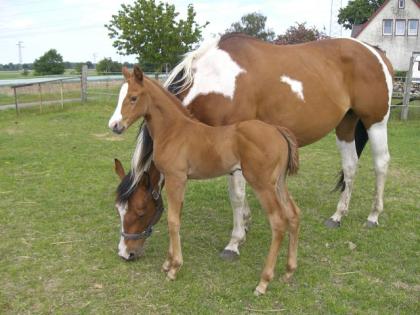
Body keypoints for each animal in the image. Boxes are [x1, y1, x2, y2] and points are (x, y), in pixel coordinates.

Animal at [109, 34, 394, 262]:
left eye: (140, 210)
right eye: (119, 210)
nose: (125, 253)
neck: (216, 78)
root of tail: (375, 52)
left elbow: (235, 195)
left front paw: (234, 243)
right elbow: (239, 196)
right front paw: (245, 225)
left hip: (375, 122)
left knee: (381, 164)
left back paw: (373, 216)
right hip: (346, 124)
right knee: (350, 166)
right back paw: (338, 215)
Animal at [118, 66, 302, 296]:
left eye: (133, 97)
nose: (115, 126)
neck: (174, 130)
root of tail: (277, 130)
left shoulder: (175, 178)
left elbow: (172, 221)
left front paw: (174, 268)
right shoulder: (180, 181)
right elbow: (176, 217)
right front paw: (168, 263)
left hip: (262, 185)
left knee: (278, 222)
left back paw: (264, 281)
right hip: (278, 183)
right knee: (293, 214)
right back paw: (289, 271)